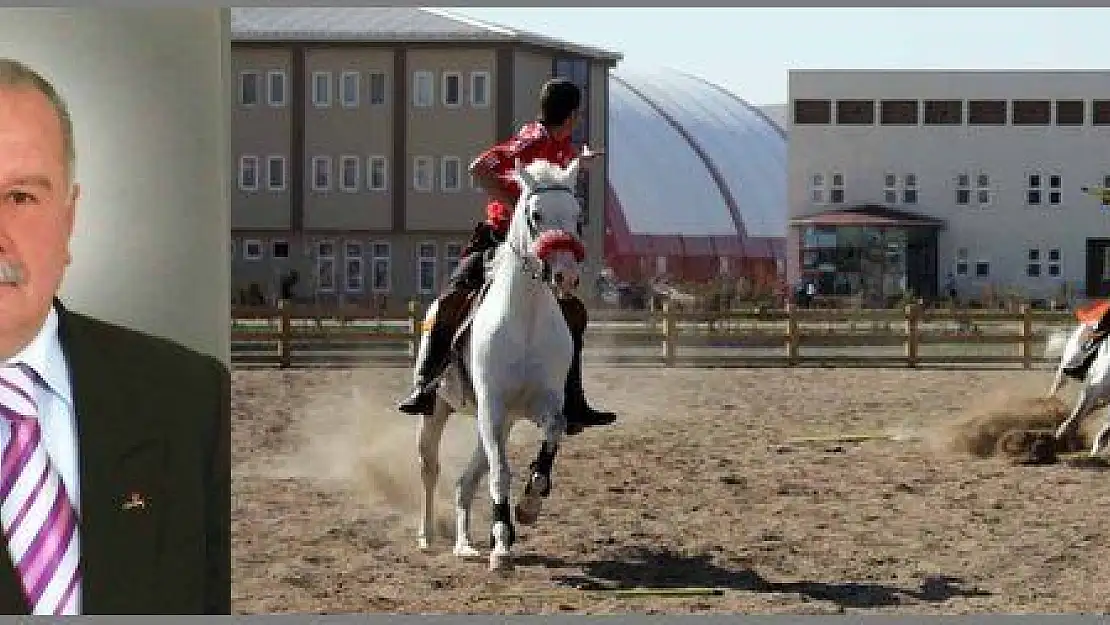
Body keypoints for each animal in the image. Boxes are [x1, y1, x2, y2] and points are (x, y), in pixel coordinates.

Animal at [417, 156, 590, 572]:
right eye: (536, 214)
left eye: (577, 216)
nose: (565, 275)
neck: (525, 318)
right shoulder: (492, 407)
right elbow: (500, 474)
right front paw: (501, 548)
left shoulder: (541, 405)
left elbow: (552, 437)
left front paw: (528, 507)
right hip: (439, 411)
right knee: (431, 469)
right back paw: (428, 537)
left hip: (500, 421)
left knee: (465, 482)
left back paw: (464, 545)